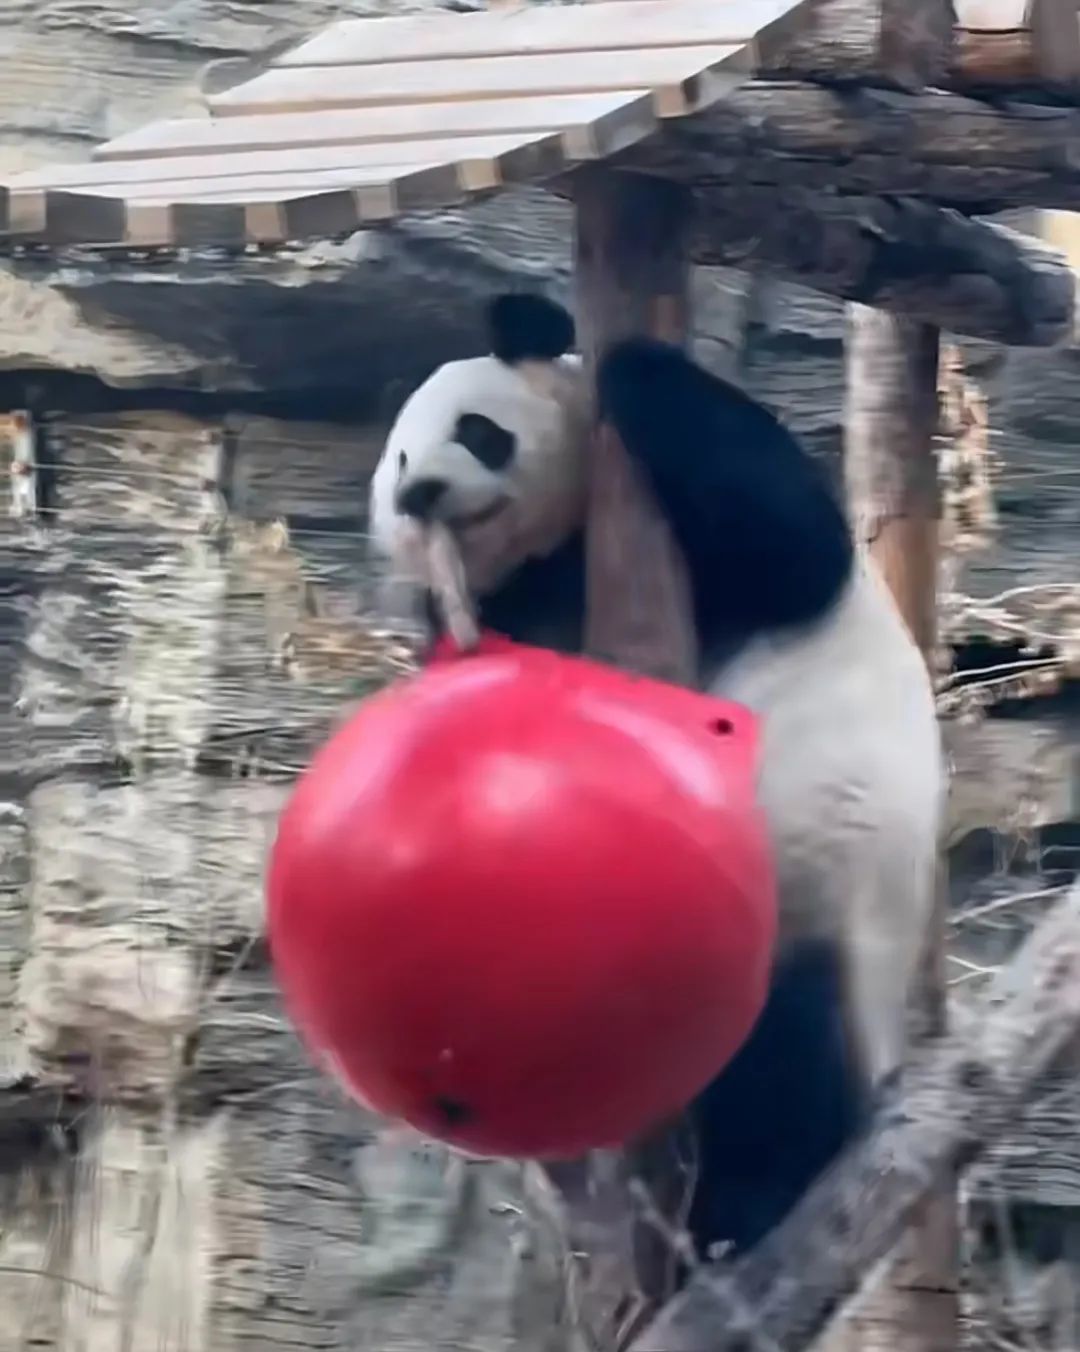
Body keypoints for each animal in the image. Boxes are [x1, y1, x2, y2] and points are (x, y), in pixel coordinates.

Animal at [367, 287, 940, 1254]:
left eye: (474, 431)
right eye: (398, 459)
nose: (419, 494)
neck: (554, 545)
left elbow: (790, 540)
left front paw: (635, 365)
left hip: (812, 905)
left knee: (780, 1056)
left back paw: (748, 1208)